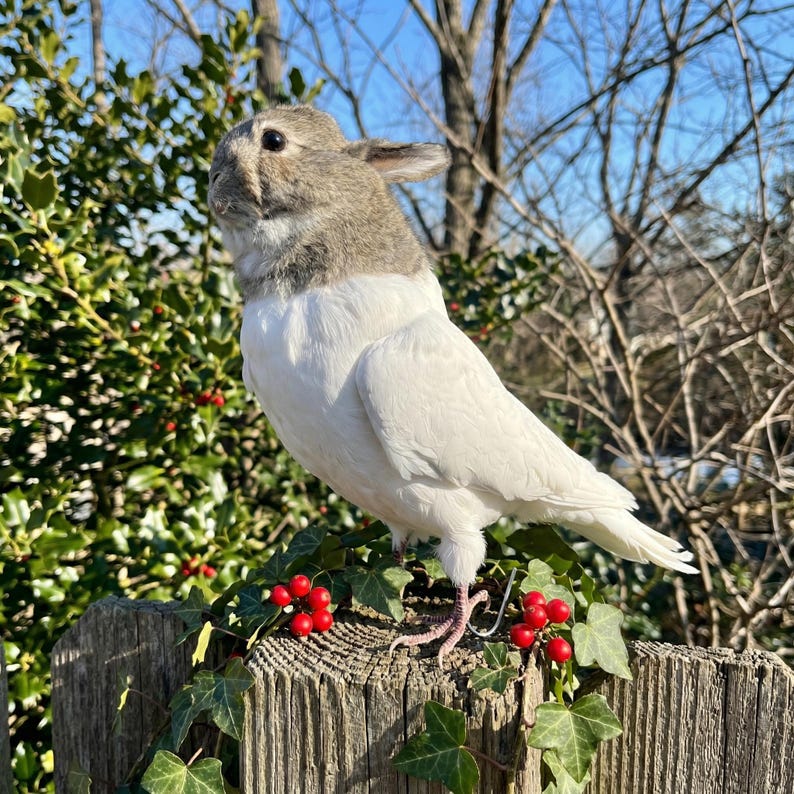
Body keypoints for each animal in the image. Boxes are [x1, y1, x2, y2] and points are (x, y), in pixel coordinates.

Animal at [208, 104, 696, 665]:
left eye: (273, 140)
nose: (214, 180)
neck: (301, 293)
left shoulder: (458, 525)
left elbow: (461, 572)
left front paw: (445, 629)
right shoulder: (394, 517)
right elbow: (395, 554)